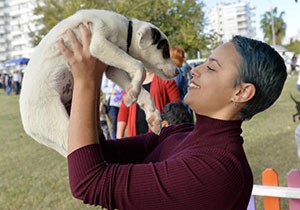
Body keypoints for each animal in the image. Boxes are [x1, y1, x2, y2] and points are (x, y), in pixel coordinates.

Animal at [20, 9, 178, 158]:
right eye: (165, 51)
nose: (177, 71)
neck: (125, 31)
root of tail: (28, 126)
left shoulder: (112, 69)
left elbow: (143, 91)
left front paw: (150, 114)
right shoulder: (99, 45)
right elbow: (140, 66)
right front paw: (132, 95)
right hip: (59, 124)